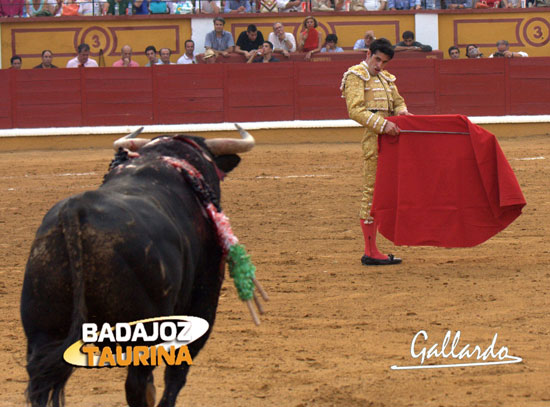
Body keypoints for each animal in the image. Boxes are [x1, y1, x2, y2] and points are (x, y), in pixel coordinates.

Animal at [19, 126, 266, 406]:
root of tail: (76, 212)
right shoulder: (204, 299)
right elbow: (177, 372)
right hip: (143, 332)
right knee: (139, 383)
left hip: (42, 328)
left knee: (39, 384)